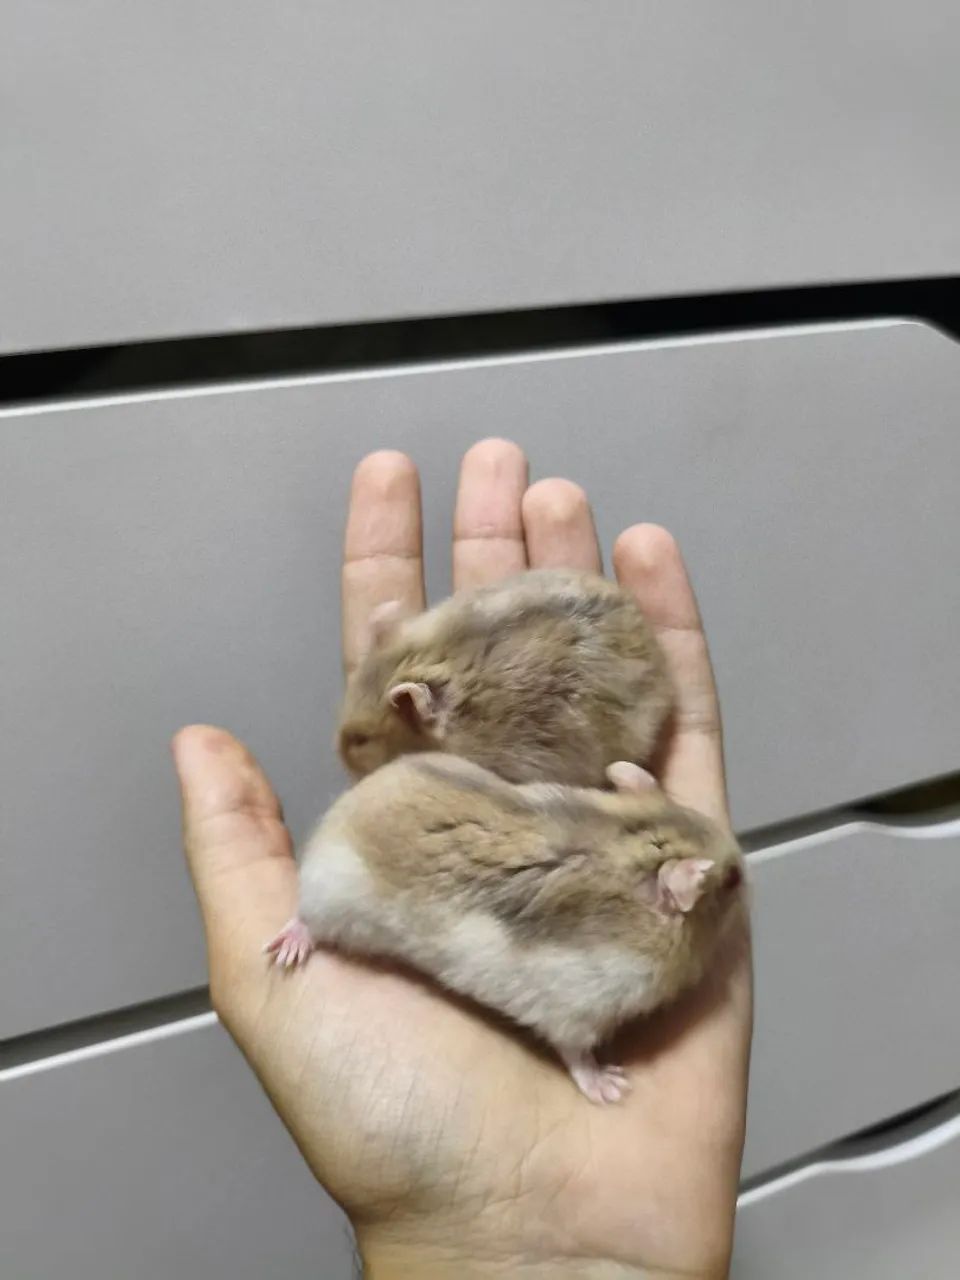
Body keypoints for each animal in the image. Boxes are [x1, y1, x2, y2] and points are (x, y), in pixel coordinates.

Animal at [265, 754, 743, 1104]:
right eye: (734, 880)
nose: (742, 864)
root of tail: (343, 810)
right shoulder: (575, 1011)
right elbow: (578, 1056)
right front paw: (612, 1088)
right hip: (333, 897)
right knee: (304, 920)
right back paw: (287, 951)